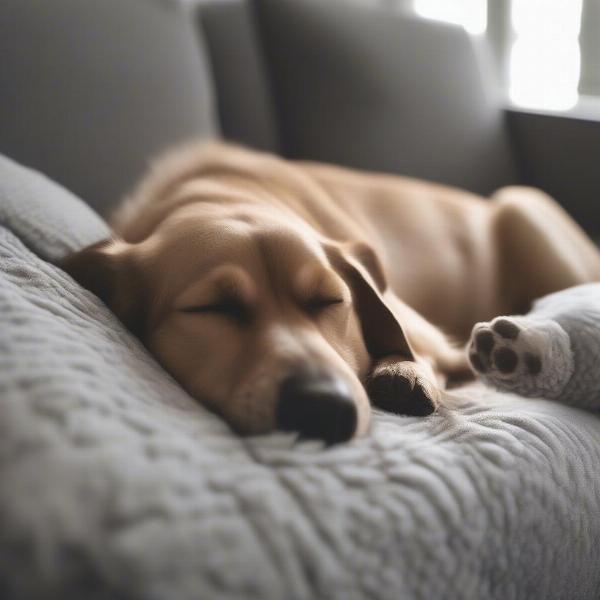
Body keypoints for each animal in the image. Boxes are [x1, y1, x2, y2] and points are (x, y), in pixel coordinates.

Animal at [62, 144, 600, 446]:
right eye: (214, 308)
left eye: (329, 301)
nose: (324, 406)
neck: (223, 194)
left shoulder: (425, 331)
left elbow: (417, 350)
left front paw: (403, 371)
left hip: (522, 205)